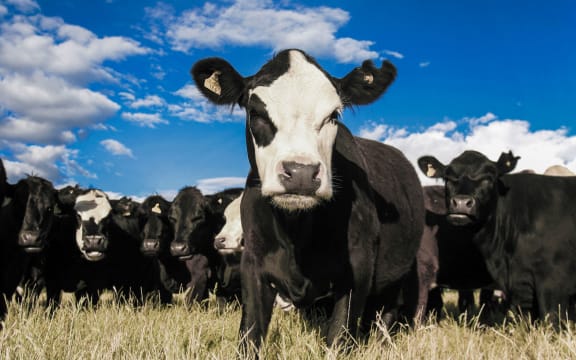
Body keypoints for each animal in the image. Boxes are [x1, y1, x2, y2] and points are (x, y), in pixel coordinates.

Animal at [191, 47, 426, 352]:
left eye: (334, 114)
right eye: (255, 111)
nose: (300, 173)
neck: (296, 232)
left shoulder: (358, 269)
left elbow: (338, 338)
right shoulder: (253, 266)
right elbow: (250, 336)